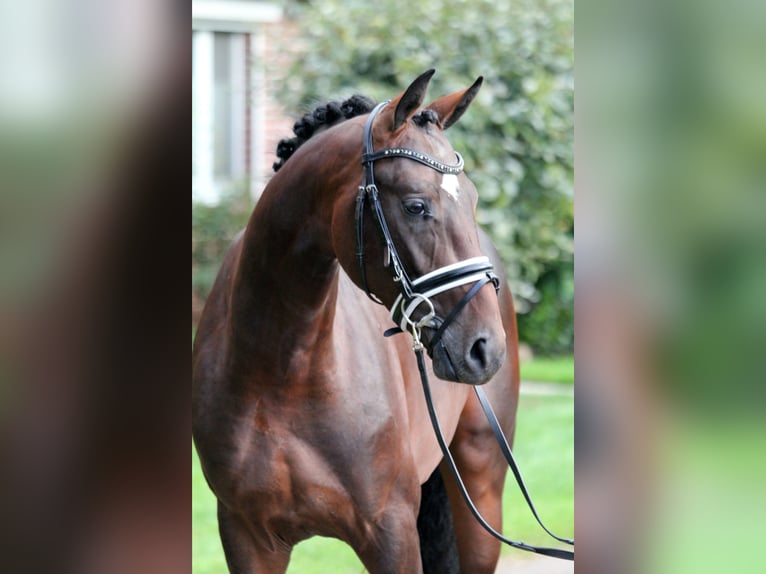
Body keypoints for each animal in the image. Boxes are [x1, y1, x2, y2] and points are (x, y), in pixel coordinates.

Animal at [195, 70, 524, 572]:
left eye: (471, 200)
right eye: (415, 205)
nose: (485, 347)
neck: (281, 371)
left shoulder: (391, 532)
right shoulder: (246, 536)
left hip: (481, 488)